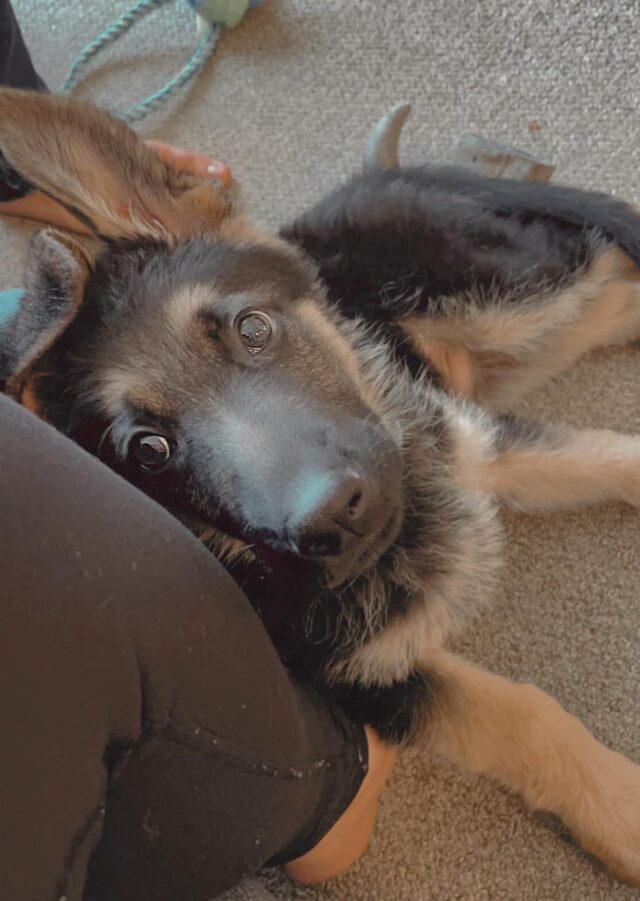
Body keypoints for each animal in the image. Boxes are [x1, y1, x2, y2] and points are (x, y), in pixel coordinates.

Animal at [1, 88, 640, 884]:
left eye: (252, 328)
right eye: (150, 451)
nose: (334, 518)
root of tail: (386, 174)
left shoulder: (465, 441)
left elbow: (602, 452)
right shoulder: (365, 677)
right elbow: (519, 715)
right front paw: (620, 808)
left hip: (506, 301)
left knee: (610, 275)